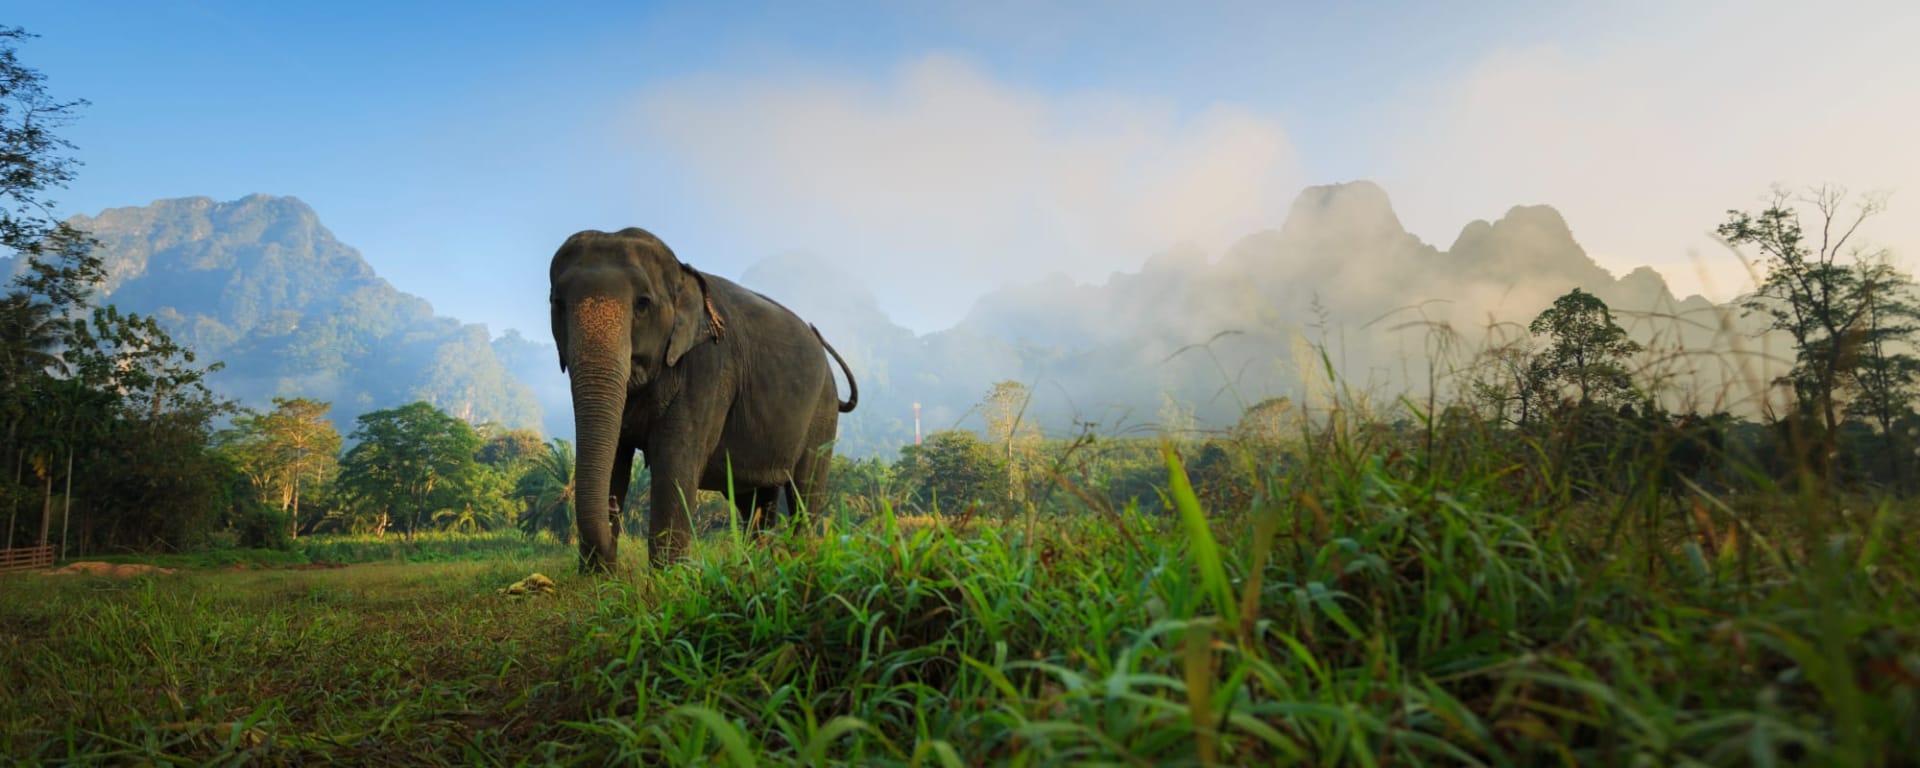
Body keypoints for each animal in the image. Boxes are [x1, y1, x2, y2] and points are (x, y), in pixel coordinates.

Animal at [548, 227, 858, 572]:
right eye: (557, 303)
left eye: (643, 304)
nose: (613, 507)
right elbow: (616, 456)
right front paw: (596, 578)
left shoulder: (708, 371)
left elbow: (675, 464)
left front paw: (667, 579)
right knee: (755, 501)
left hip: (822, 414)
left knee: (805, 491)